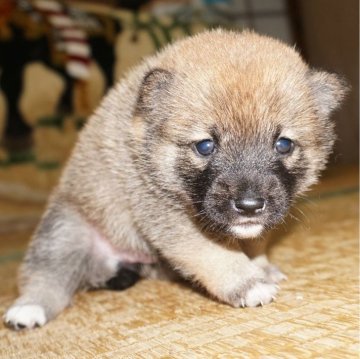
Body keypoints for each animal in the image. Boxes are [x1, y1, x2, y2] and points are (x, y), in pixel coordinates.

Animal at [2, 29, 348, 330]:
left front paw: (260, 265)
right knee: (47, 278)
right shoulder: (167, 218)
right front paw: (248, 282)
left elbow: (253, 243)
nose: (250, 206)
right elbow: (213, 253)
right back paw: (28, 308)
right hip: (64, 233)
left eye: (284, 144)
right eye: (205, 145)